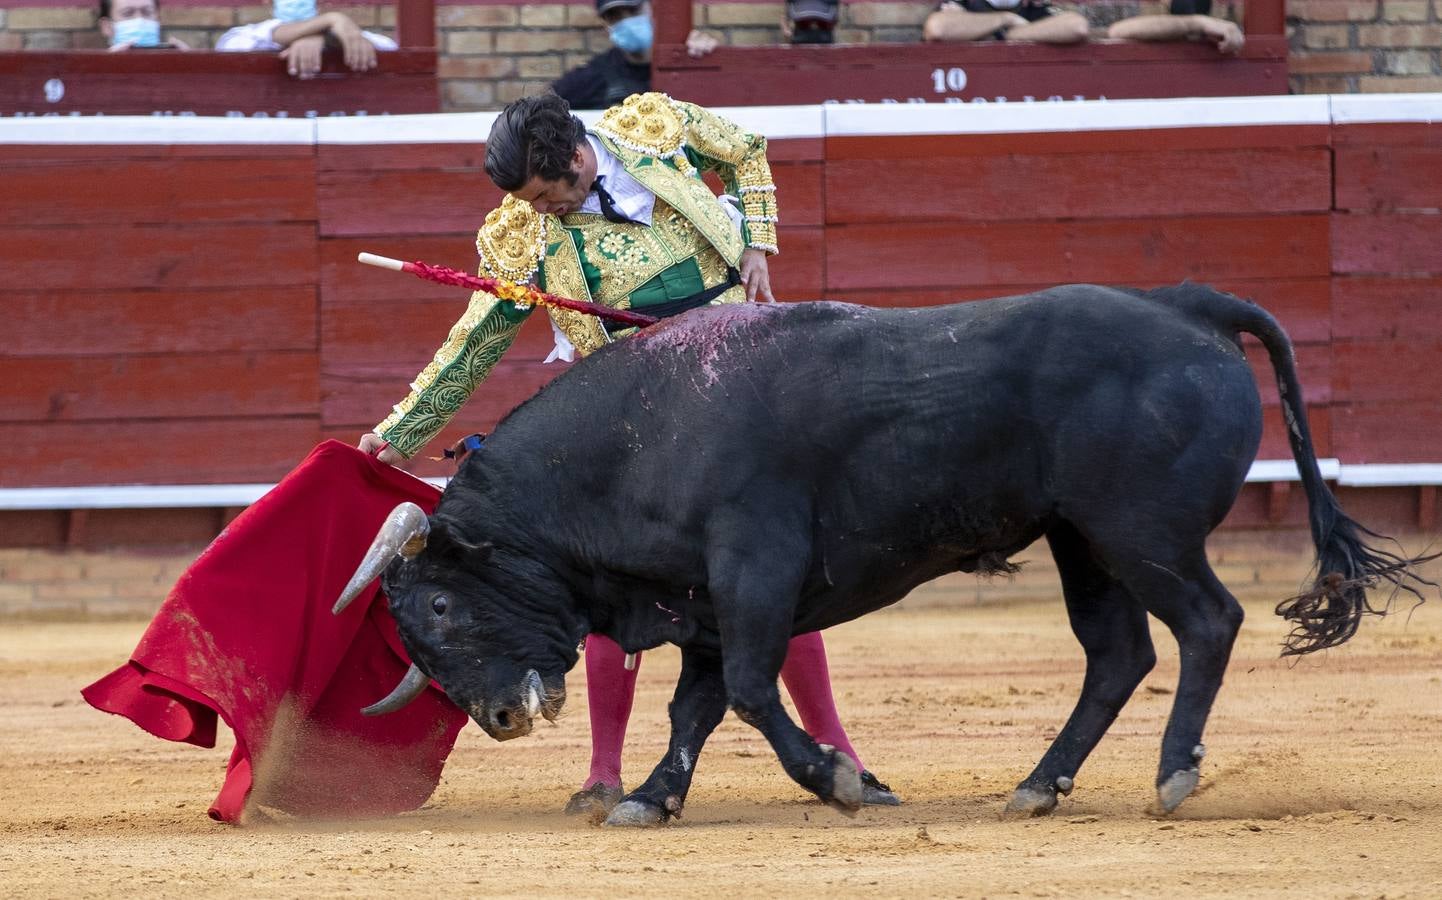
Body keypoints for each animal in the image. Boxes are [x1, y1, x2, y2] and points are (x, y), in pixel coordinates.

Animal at [337, 284, 1430, 825]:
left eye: (439, 607)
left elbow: (746, 690)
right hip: (1080, 542)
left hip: (1141, 534)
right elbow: (695, 706)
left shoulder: (752, 568)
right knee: (1118, 654)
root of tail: (1190, 310)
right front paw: (649, 798)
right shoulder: (699, 600)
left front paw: (838, 783)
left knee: (1207, 622)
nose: (499, 719)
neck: (638, 437)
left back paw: (1170, 777)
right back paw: (1038, 786)